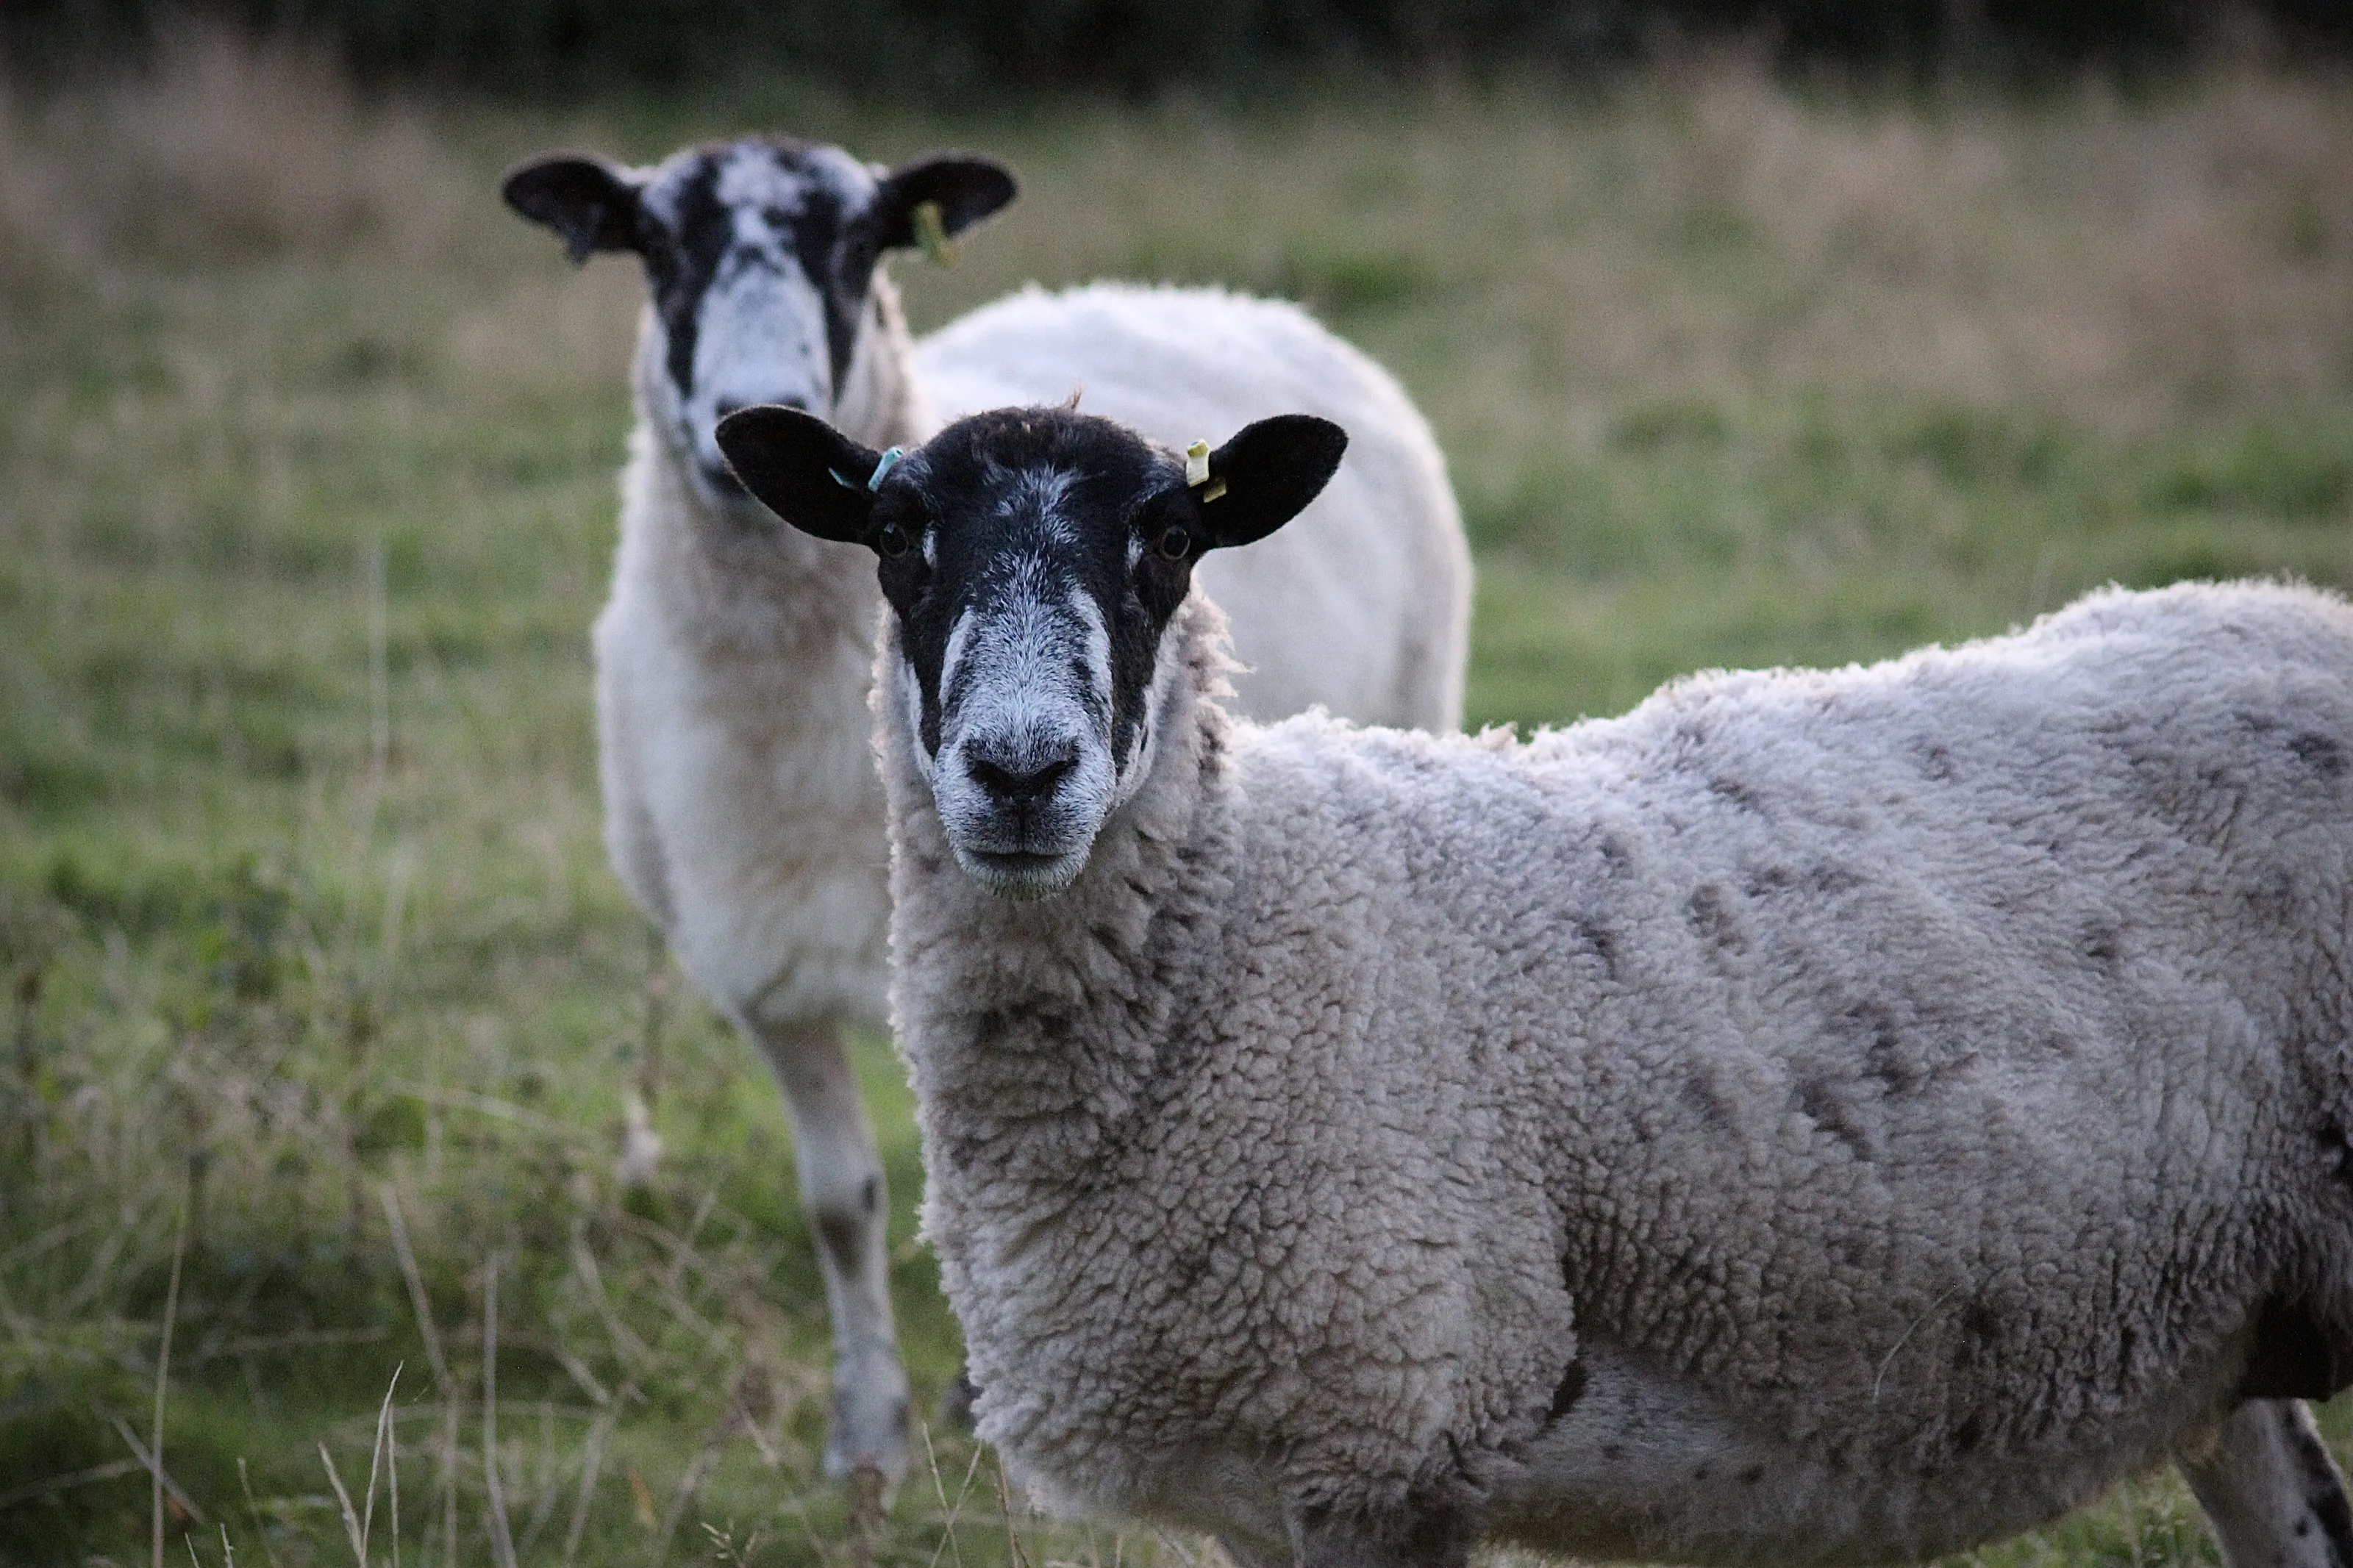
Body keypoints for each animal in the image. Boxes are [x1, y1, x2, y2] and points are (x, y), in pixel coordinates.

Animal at [501, 135, 1471, 1484]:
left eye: (862, 246)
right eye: (655, 246)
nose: (739, 405)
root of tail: (1212, 292)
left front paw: (984, 1398)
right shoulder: (763, 965)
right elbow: (842, 1202)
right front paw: (866, 1434)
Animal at [714, 396, 2353, 1568]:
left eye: (1170, 539)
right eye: (896, 531)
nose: (1019, 771)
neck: (1249, 925)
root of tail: (2291, 607)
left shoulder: (1388, 1435)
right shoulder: (1272, 1478)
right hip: (2218, 1320)